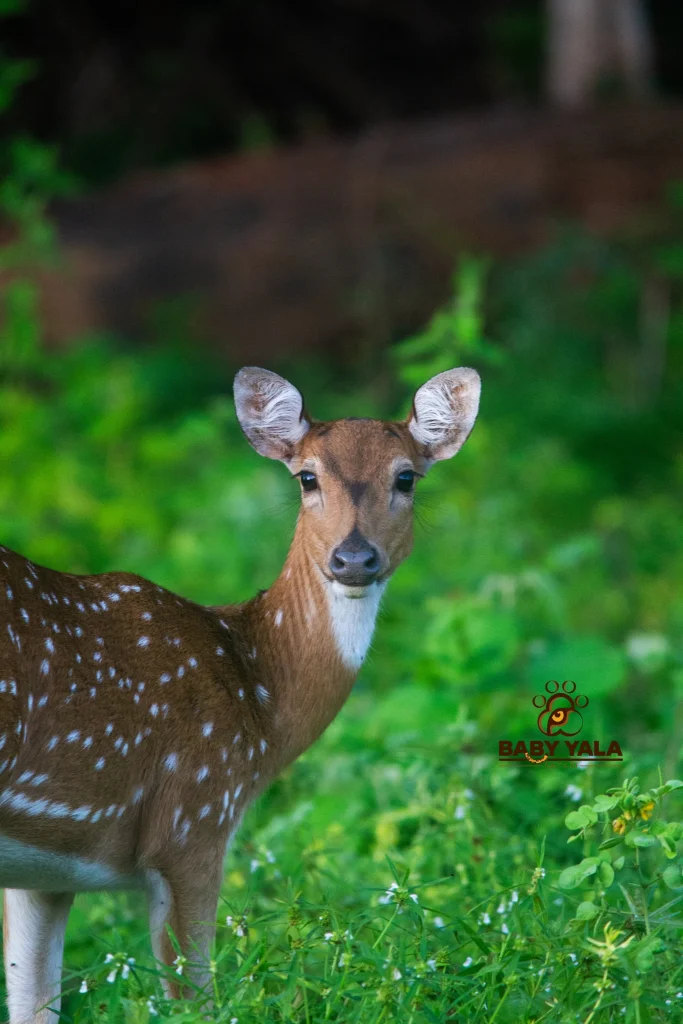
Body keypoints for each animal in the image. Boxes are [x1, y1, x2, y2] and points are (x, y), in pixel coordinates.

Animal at [0, 364, 480, 1023]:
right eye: (307, 476)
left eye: (406, 476)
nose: (354, 558)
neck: (259, 697)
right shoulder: (193, 821)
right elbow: (197, 1000)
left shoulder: (47, 870)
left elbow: (32, 1000)